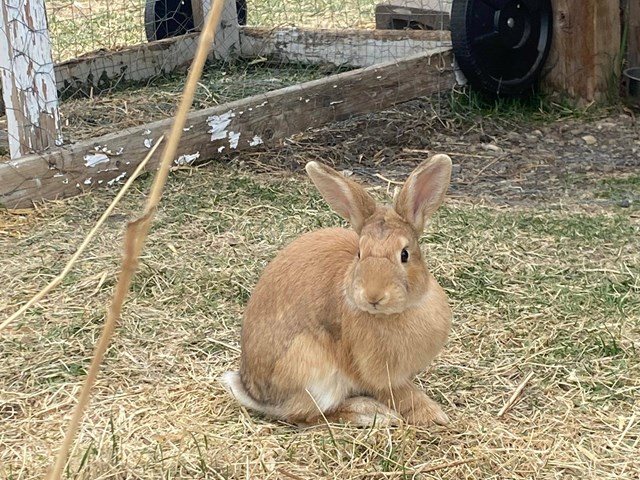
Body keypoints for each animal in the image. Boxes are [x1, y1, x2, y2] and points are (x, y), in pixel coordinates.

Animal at [222, 156, 452, 426]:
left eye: (404, 254)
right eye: (359, 253)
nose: (373, 296)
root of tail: (254, 393)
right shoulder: (376, 374)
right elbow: (403, 394)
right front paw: (434, 416)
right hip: (314, 372)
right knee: (309, 415)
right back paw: (372, 413)